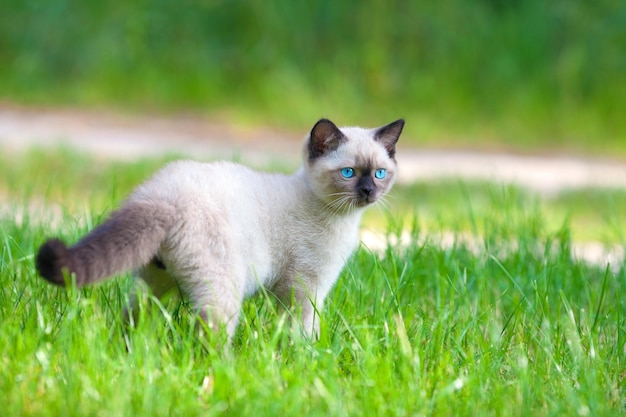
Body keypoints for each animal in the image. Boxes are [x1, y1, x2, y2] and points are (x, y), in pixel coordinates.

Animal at [35, 117, 404, 342]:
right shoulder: (305, 288)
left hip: (156, 283)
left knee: (134, 317)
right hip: (223, 286)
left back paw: (128, 351)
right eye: (348, 173)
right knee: (210, 334)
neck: (339, 217)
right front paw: (308, 360)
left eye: (379, 173)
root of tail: (161, 196)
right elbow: (303, 331)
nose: (368, 192)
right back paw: (227, 374)